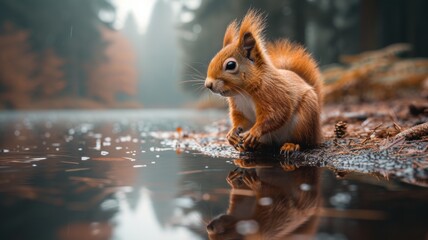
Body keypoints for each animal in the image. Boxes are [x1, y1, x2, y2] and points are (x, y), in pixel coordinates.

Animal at [206, 10, 322, 153]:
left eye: (231, 65)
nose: (208, 84)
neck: (244, 93)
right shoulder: (240, 107)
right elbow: (243, 121)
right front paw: (232, 133)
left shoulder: (274, 94)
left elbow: (276, 115)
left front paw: (254, 132)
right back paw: (253, 146)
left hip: (304, 119)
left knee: (303, 141)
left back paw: (290, 145)